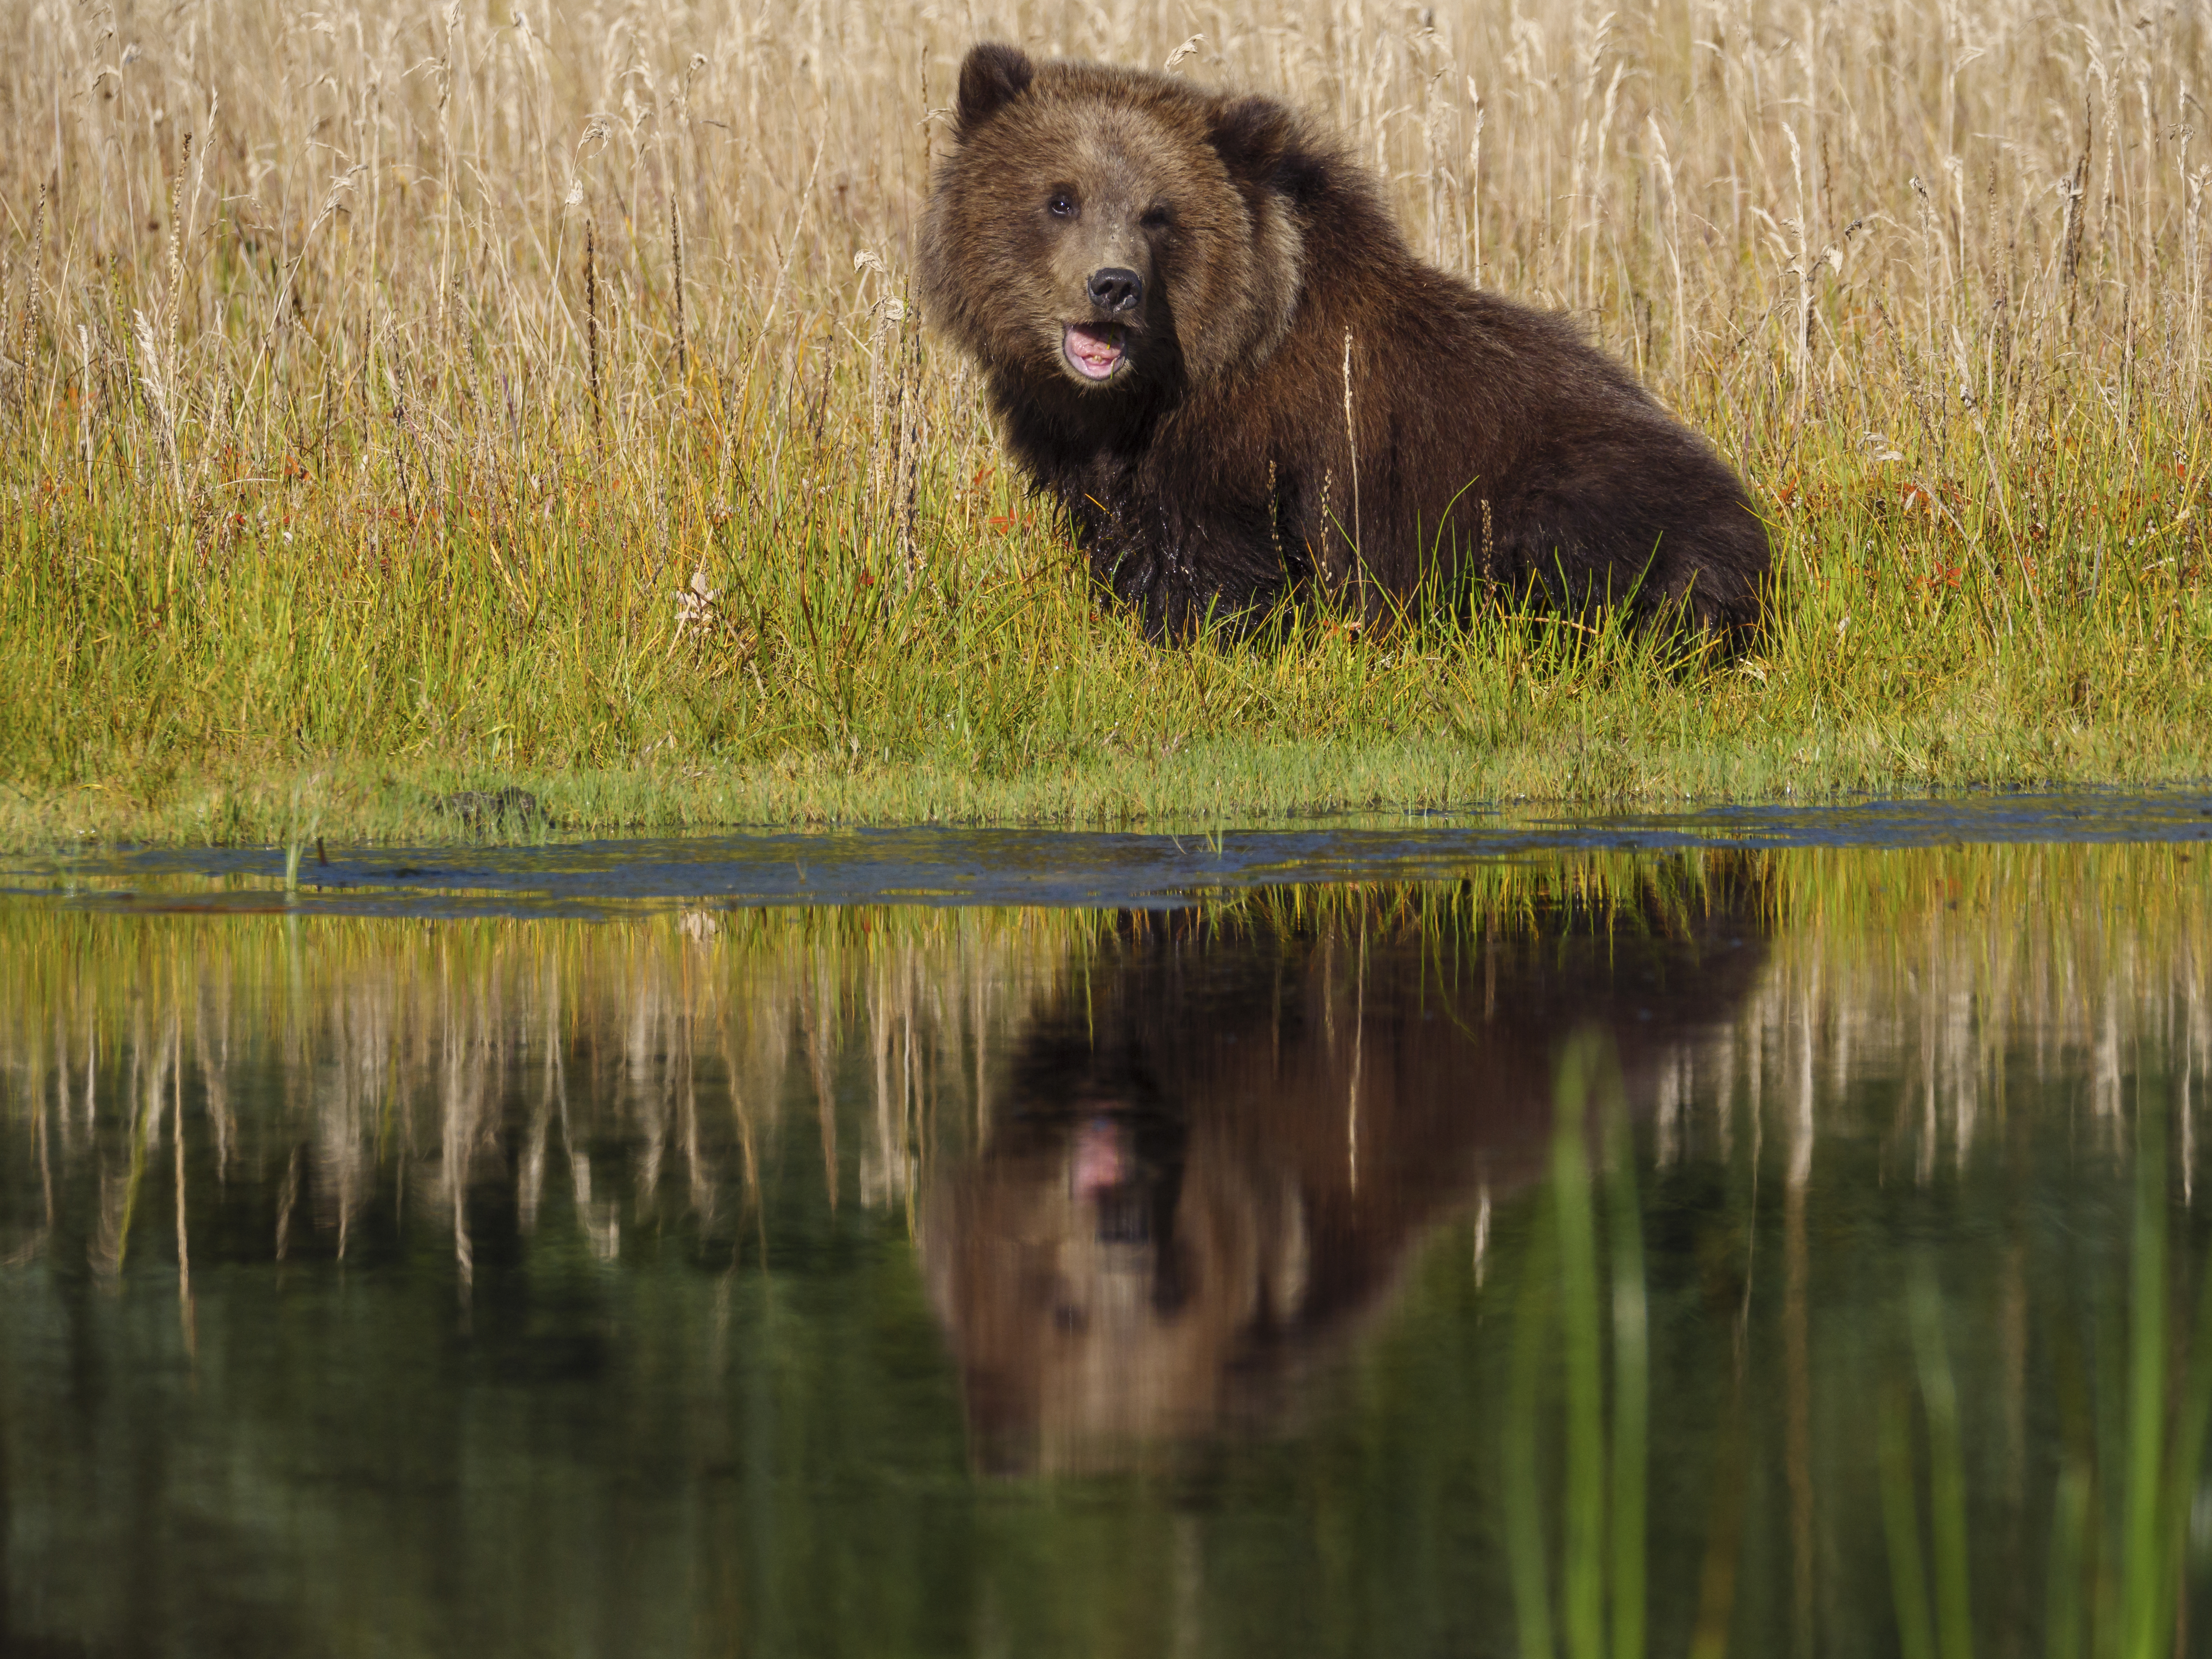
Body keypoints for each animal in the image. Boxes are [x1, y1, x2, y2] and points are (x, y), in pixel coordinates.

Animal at [918, 42, 1770, 639]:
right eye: (1060, 198)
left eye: (1159, 213)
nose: (1113, 285)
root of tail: (1756, 537)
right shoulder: (1090, 452)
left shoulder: (1260, 442)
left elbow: (1219, 566)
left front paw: (1194, 631)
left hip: (1591, 496)